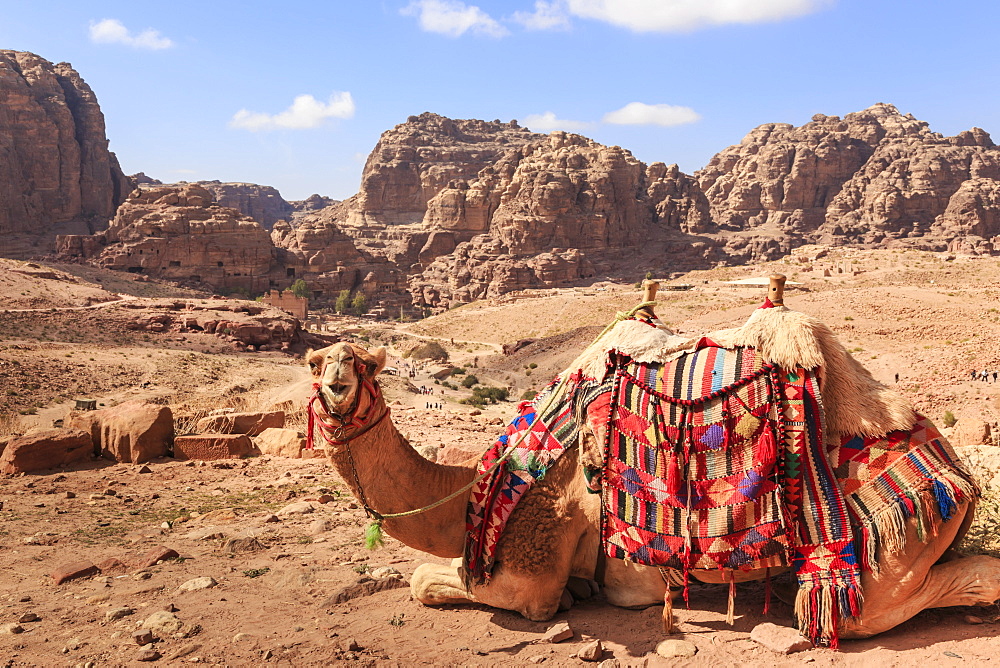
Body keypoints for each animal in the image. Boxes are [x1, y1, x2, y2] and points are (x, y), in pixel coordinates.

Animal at [306, 276, 1000, 648]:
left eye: (362, 366)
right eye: (317, 362)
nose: (336, 388)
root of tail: (953, 474)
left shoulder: (531, 573)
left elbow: (431, 583)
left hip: (881, 569)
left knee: (947, 585)